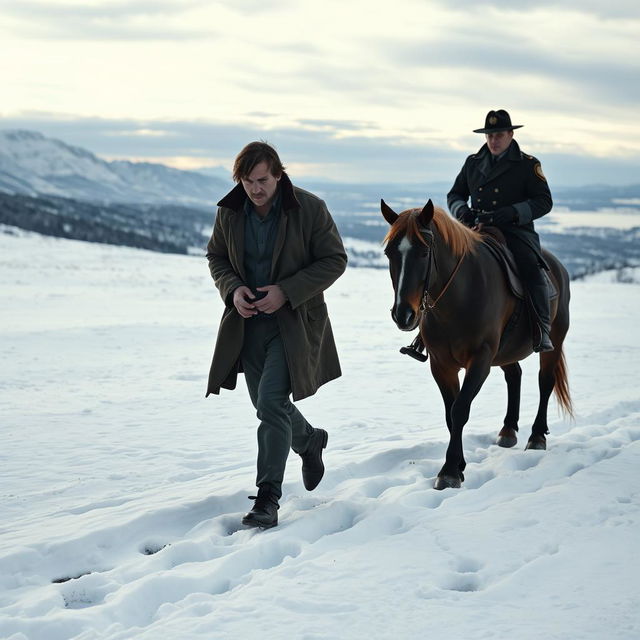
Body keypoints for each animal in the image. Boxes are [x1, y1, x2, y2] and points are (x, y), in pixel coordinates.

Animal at [382, 200, 572, 490]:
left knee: (545, 382)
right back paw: (508, 430)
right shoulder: (441, 365)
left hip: (555, 341)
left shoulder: (481, 360)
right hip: (506, 351)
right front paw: (458, 465)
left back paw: (537, 436)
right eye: (389, 252)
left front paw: (449, 471)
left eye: (424, 252)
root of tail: (558, 267)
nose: (403, 314)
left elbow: (460, 409)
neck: (458, 297)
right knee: (514, 375)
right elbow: (450, 415)